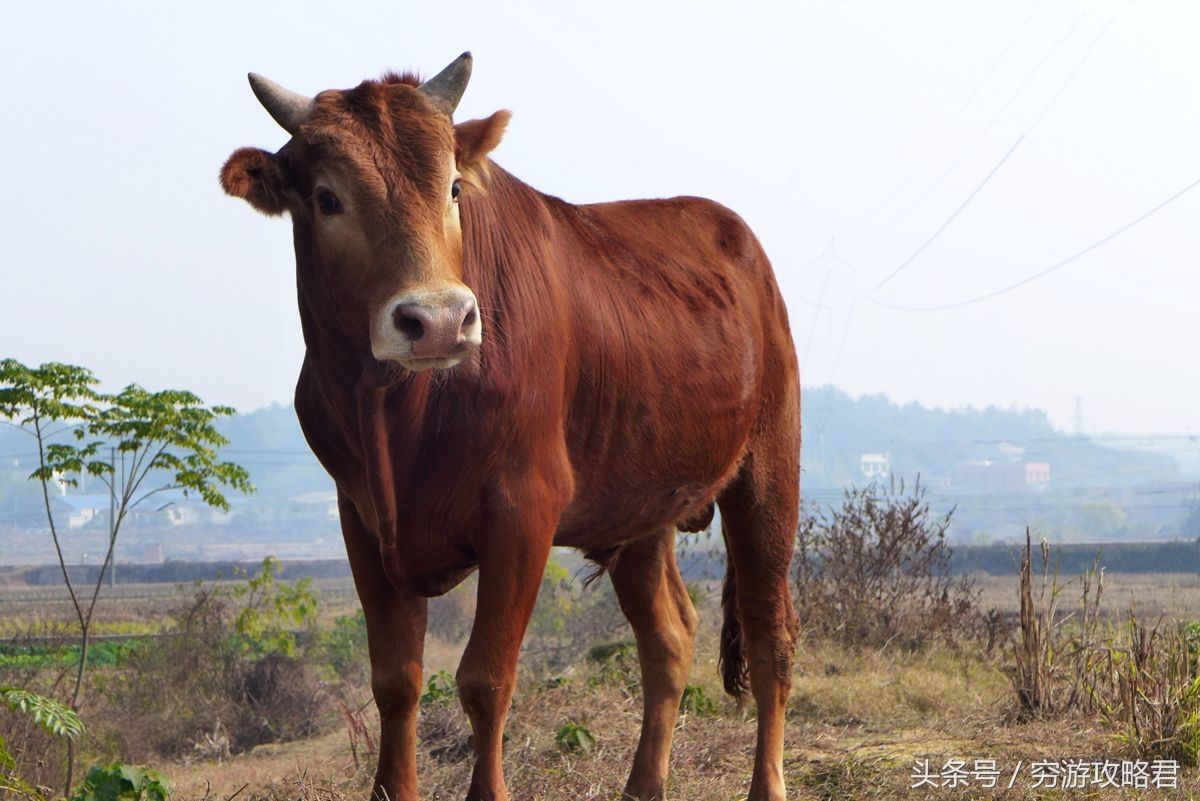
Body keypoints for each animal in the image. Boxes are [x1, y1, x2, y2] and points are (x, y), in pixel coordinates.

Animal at [220, 53, 801, 796]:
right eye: (326, 198)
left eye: (453, 187)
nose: (438, 320)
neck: (400, 411)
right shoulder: (363, 519)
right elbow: (395, 681)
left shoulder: (523, 512)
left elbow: (485, 679)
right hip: (641, 510)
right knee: (668, 638)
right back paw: (644, 784)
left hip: (768, 474)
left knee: (769, 637)